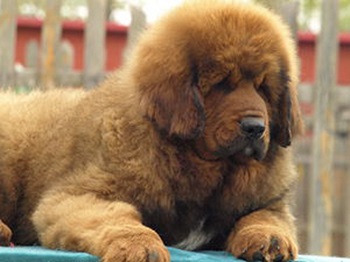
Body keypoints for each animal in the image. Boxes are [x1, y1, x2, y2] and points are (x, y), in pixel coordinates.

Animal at [0, 0, 302, 262]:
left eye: (263, 88)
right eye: (221, 84)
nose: (256, 128)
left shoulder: (269, 202)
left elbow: (264, 217)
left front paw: (270, 239)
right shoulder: (76, 196)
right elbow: (117, 217)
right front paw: (139, 246)